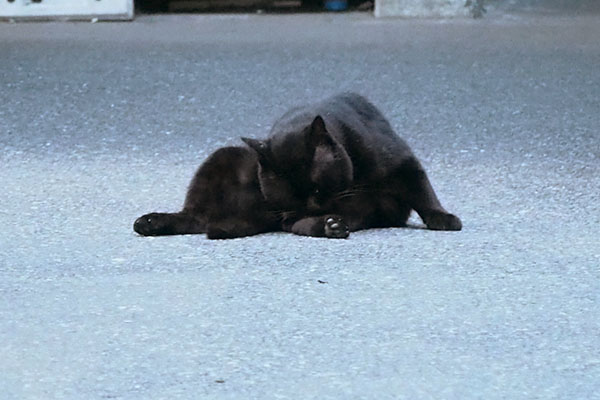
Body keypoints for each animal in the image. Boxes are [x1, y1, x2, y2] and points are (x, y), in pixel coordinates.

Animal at [241, 93, 462, 238]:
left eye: (316, 188)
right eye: (293, 197)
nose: (311, 206)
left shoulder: (403, 164)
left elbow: (423, 192)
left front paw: (444, 218)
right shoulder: (290, 217)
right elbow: (304, 224)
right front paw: (330, 225)